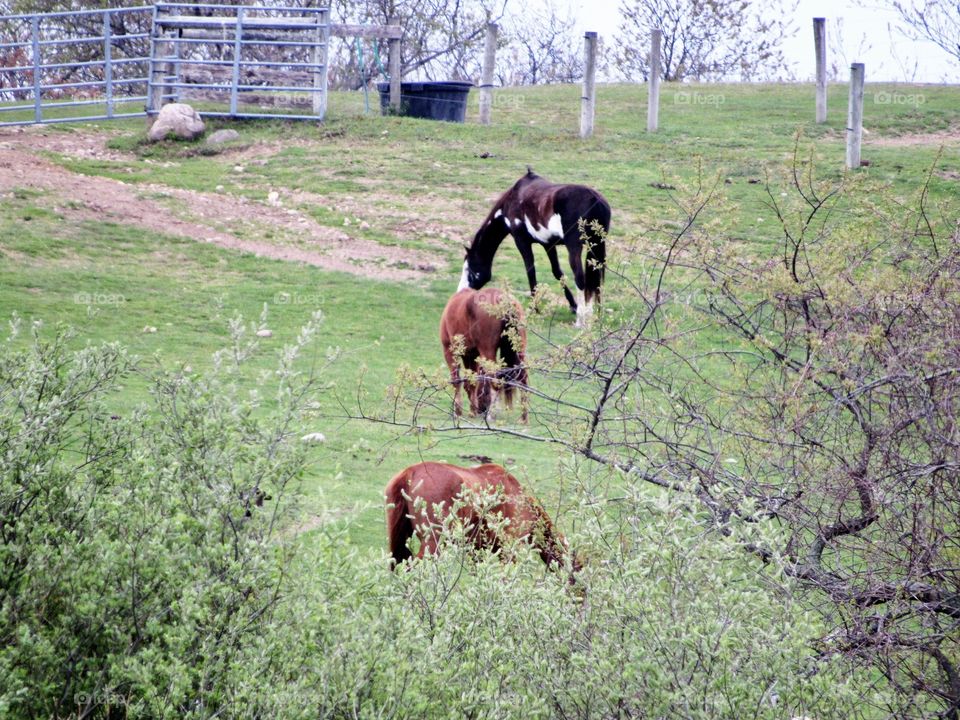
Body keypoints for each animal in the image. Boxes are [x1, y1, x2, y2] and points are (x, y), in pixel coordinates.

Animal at [440, 286, 528, 422]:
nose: (481, 410)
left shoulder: (450, 351)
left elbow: (457, 381)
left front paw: (457, 412)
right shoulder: (472, 355)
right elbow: (472, 383)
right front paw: (472, 411)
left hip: (487, 352)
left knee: (495, 380)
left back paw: (492, 414)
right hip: (519, 352)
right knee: (523, 379)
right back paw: (523, 418)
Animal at [462, 169, 612, 326]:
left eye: (468, 268)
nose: (462, 292)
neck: (513, 199)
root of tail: (595, 200)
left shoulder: (522, 242)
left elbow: (531, 271)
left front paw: (535, 308)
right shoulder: (548, 244)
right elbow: (557, 272)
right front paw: (573, 306)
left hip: (575, 248)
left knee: (580, 278)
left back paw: (580, 321)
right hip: (597, 245)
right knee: (599, 276)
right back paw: (598, 315)